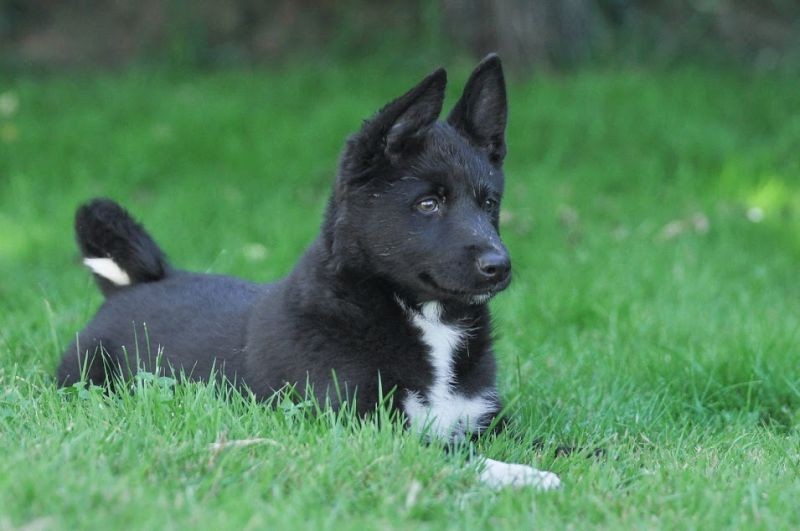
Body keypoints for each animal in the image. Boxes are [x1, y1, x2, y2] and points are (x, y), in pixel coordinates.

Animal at [54, 54, 564, 490]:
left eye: (489, 204)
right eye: (428, 204)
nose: (499, 266)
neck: (422, 318)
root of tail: (132, 284)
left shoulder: (484, 421)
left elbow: (562, 446)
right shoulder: (363, 429)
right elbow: (456, 456)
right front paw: (527, 475)